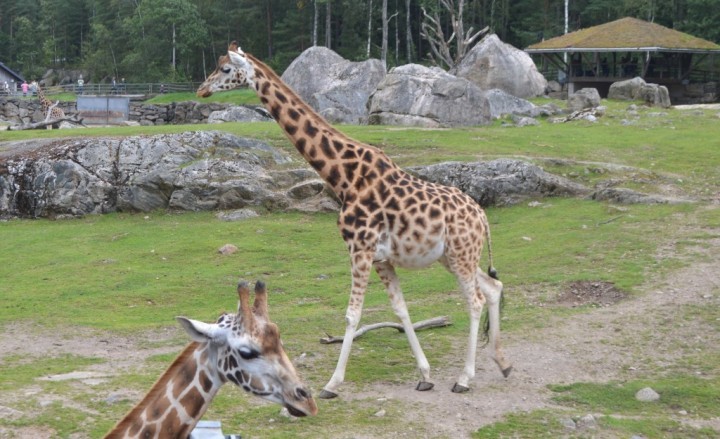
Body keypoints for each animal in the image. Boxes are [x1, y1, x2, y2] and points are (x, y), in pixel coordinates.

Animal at [197, 43, 512, 400]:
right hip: (455, 256)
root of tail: (482, 216)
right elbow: (401, 309)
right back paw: (502, 363)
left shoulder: (360, 249)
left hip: (460, 255)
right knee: (493, 288)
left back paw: (465, 378)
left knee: (474, 301)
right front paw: (424, 374)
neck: (343, 177)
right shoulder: (381, 258)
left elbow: (352, 315)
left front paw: (331, 384)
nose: (201, 89)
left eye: (225, 69)